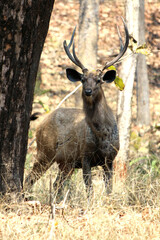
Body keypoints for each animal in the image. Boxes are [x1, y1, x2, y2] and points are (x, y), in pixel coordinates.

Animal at [24, 16, 129, 199]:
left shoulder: (110, 159)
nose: (88, 91)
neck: (103, 134)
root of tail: (41, 122)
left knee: (56, 184)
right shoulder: (85, 156)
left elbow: (109, 190)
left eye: (99, 80)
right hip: (45, 151)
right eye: (83, 79)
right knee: (30, 179)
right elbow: (90, 190)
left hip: (66, 163)